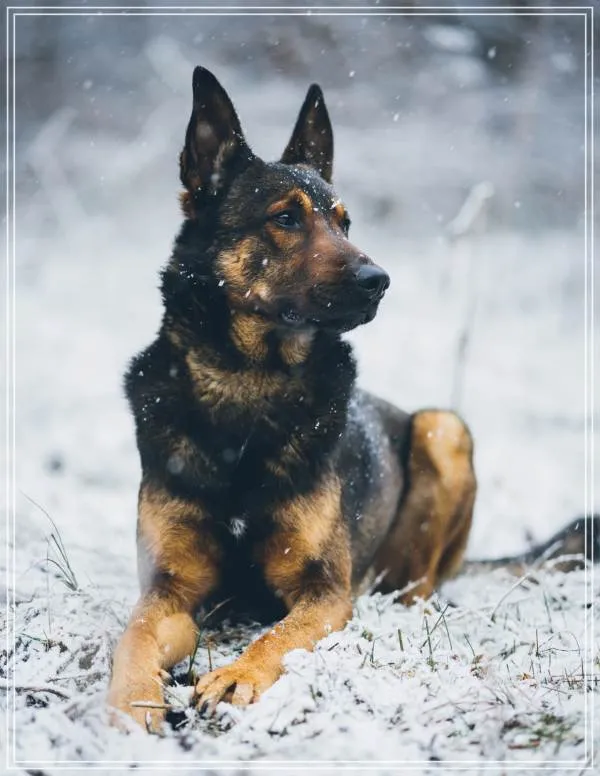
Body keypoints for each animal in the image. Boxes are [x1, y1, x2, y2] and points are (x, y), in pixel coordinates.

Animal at [107, 66, 597, 732]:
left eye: (344, 222)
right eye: (286, 218)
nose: (379, 281)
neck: (247, 385)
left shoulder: (323, 593)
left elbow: (278, 635)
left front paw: (236, 675)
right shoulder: (169, 590)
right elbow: (132, 634)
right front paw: (129, 701)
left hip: (443, 430)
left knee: (417, 588)